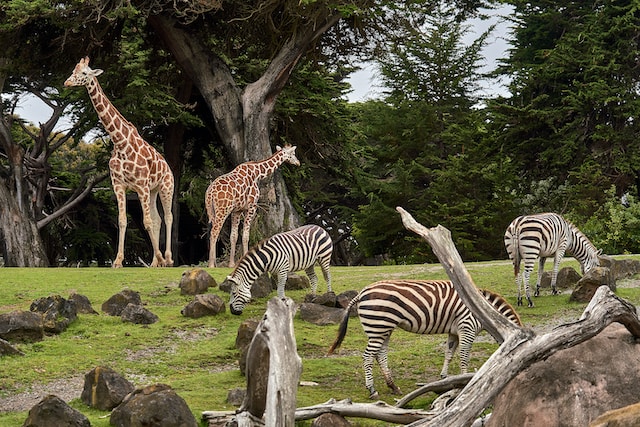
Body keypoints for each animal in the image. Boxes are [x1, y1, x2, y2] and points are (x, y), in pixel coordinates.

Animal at [64, 57, 174, 268]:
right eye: (73, 70)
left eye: (84, 73)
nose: (67, 83)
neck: (120, 142)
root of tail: (168, 167)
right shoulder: (119, 185)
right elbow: (123, 220)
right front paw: (117, 261)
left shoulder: (140, 186)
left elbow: (147, 222)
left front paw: (159, 257)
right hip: (153, 190)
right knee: (157, 219)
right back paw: (155, 262)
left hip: (166, 187)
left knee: (168, 217)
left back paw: (168, 258)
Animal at [328, 280, 524, 400]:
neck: (484, 311)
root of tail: (362, 292)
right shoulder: (466, 328)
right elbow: (463, 357)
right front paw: (465, 381)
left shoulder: (454, 331)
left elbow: (449, 353)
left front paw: (445, 377)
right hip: (378, 326)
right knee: (368, 356)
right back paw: (372, 389)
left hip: (383, 328)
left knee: (380, 355)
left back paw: (393, 386)